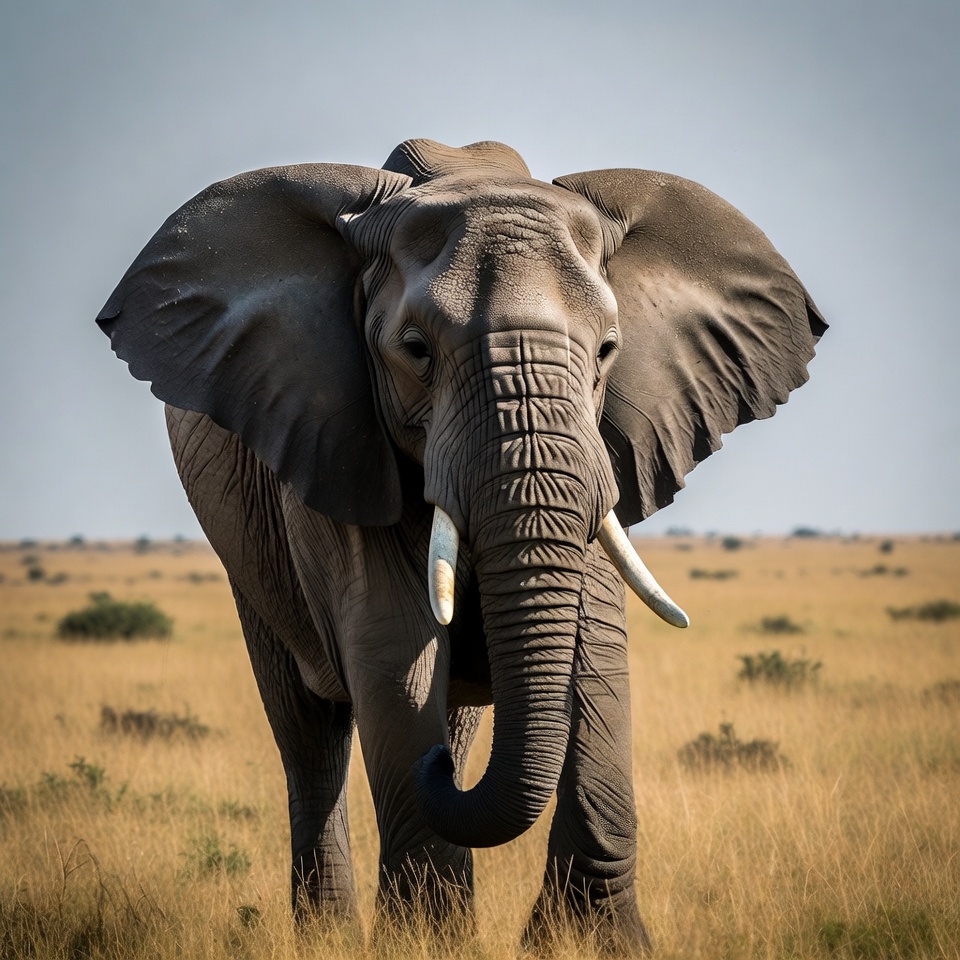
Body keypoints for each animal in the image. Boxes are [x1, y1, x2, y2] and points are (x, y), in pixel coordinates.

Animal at [97, 138, 825, 951]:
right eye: (414, 349)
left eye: (609, 349)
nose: (440, 771)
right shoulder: (336, 436)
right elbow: (394, 648)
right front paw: (429, 944)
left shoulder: (604, 451)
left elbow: (595, 643)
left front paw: (591, 944)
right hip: (248, 556)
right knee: (310, 735)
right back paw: (326, 932)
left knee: (445, 715)